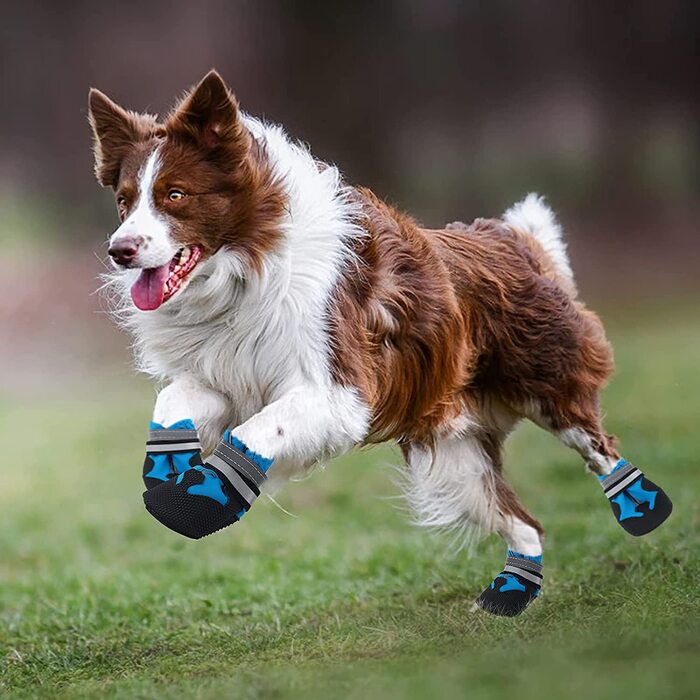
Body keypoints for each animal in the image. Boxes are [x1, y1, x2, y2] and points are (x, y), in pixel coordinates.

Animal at [89, 72, 672, 616]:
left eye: (175, 195)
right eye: (124, 201)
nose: (120, 249)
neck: (245, 267)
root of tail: (512, 239)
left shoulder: (339, 390)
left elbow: (261, 428)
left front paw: (202, 501)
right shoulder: (229, 372)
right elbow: (175, 401)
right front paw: (167, 474)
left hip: (546, 385)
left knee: (598, 447)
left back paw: (644, 509)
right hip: (453, 453)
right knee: (525, 522)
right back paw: (509, 595)